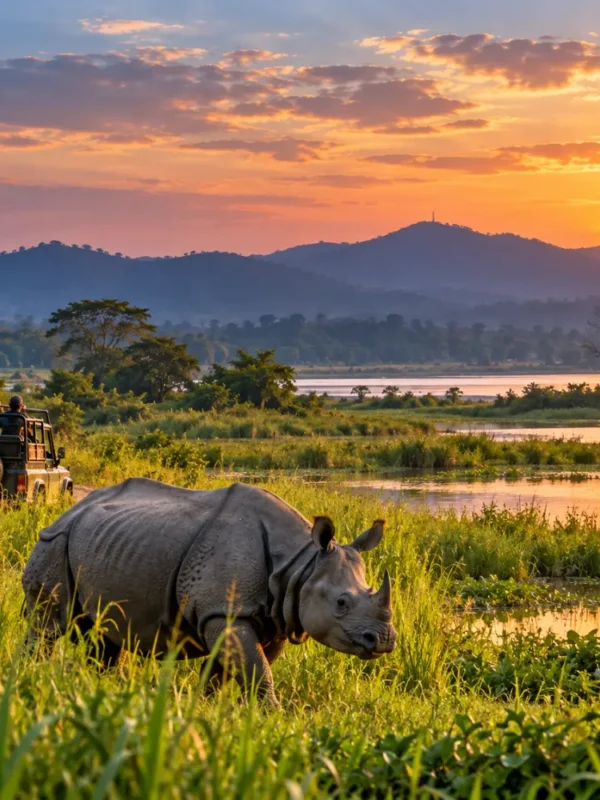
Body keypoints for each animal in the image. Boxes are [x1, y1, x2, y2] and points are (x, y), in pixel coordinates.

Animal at [22, 478, 396, 706]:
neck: (300, 565)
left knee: (106, 634)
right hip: (56, 541)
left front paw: (202, 706)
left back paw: (102, 688)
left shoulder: (267, 617)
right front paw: (272, 715)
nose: (383, 641)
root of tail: (67, 510)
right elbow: (258, 671)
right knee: (49, 625)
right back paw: (30, 677)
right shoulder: (223, 611)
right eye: (341, 603)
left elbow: (233, 669)